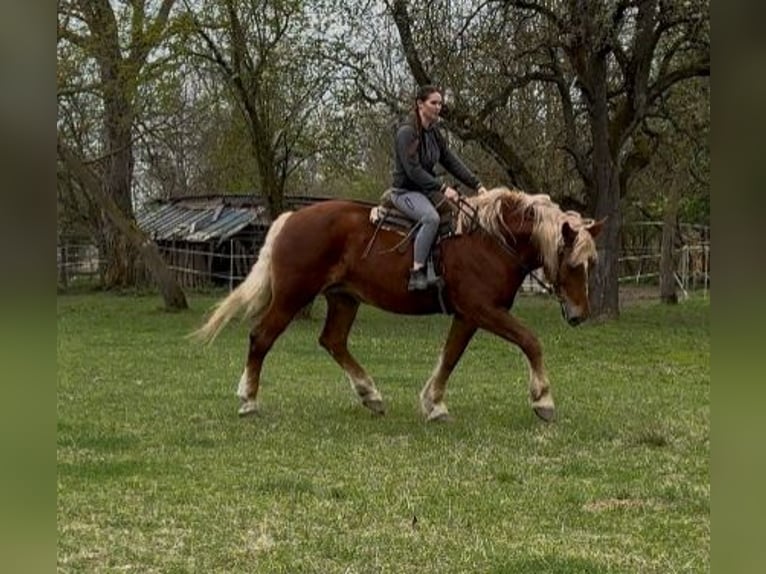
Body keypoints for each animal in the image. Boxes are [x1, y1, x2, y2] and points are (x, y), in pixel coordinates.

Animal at [193, 187, 603, 422]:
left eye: (591, 263)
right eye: (571, 263)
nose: (580, 315)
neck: (490, 239)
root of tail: (291, 218)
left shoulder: (468, 315)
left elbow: (449, 357)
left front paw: (434, 403)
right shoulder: (483, 311)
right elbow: (530, 341)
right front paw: (543, 400)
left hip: (344, 298)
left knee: (333, 341)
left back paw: (370, 394)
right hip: (293, 296)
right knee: (261, 338)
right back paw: (248, 399)